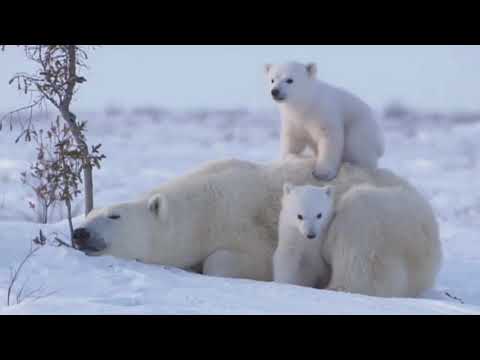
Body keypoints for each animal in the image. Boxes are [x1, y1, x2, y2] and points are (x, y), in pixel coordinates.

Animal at [71, 158, 442, 298]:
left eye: (114, 216)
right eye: (90, 213)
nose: (80, 233)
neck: (203, 208)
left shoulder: (246, 224)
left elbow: (228, 260)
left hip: (389, 218)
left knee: (361, 234)